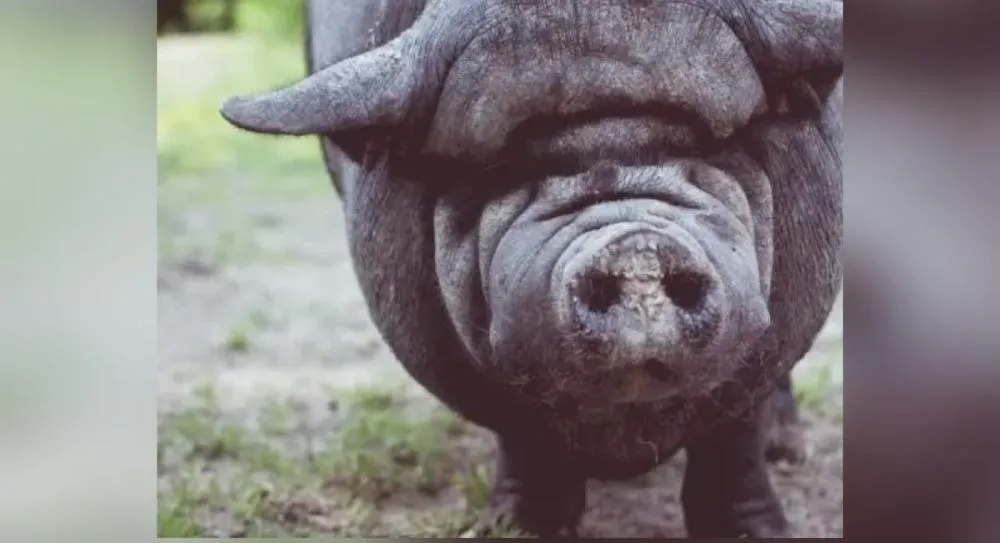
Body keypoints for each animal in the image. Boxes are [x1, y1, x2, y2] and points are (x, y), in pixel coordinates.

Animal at [219, 0, 842, 537]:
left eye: (712, 142)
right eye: (503, 164)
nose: (635, 246)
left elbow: (734, 435)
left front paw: (757, 532)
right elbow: (525, 436)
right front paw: (514, 529)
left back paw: (789, 449)